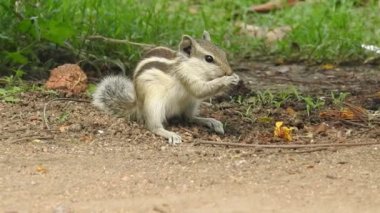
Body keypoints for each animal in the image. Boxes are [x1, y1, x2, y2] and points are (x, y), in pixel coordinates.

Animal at [92, 31, 239, 145]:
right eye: (209, 58)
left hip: (191, 103)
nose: (229, 71)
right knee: (153, 126)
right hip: (153, 104)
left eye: (223, 53)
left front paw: (235, 77)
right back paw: (169, 134)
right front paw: (227, 79)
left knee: (189, 117)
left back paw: (211, 121)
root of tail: (138, 105)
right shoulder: (185, 76)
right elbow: (200, 90)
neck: (190, 66)